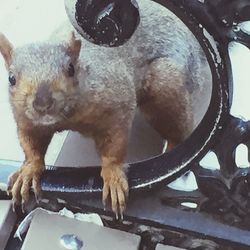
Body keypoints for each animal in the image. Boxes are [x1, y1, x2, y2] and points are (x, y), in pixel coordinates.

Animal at [0, 0, 211, 215]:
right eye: (11, 78)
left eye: (70, 69)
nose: (42, 103)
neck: (68, 116)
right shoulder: (27, 121)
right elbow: (31, 146)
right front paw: (28, 170)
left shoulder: (117, 105)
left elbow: (114, 146)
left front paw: (113, 175)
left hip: (165, 86)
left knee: (179, 129)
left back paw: (173, 150)